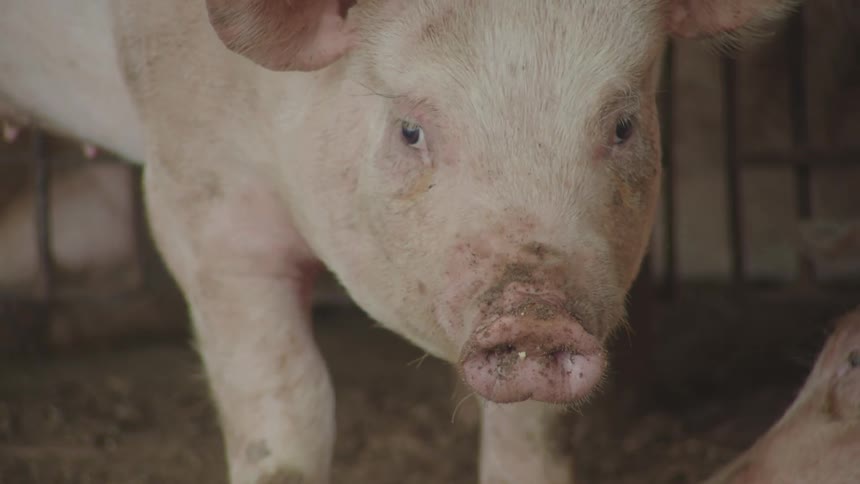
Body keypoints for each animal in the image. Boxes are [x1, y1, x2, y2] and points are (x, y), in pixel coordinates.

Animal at [0, 0, 798, 482]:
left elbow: (533, 429)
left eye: (625, 126)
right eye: (411, 130)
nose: (536, 312)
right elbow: (288, 400)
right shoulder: (197, 192)